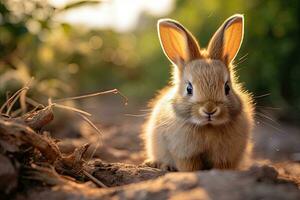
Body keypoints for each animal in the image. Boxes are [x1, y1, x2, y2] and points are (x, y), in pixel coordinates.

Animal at [142, 13, 253, 172]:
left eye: (227, 88)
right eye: (189, 89)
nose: (209, 110)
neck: (207, 127)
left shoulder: (225, 156)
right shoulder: (184, 153)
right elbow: (190, 166)